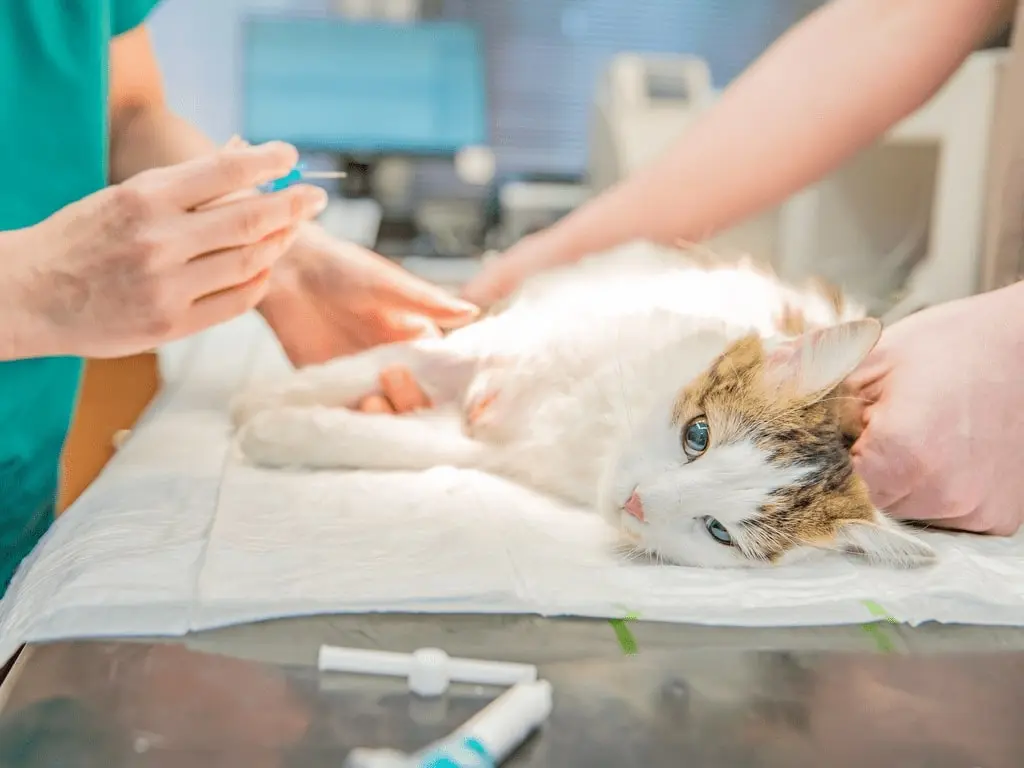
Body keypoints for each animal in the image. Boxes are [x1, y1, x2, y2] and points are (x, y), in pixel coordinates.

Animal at [230, 240, 937, 573]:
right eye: (698, 436)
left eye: (718, 531)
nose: (638, 502)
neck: (593, 426)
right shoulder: (501, 341)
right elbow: (381, 360)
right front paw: (264, 398)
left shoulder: (494, 445)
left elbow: (385, 442)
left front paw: (276, 429)